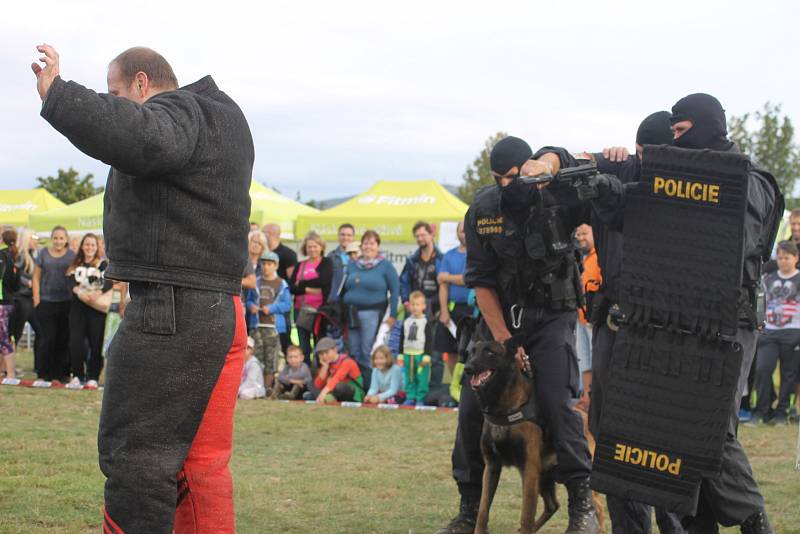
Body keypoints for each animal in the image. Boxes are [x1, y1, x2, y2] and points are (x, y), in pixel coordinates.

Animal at [466, 332, 604, 532]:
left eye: (490, 352)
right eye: (471, 352)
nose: (467, 368)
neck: (504, 408)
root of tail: (584, 412)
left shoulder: (529, 469)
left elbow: (526, 516)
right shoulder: (491, 467)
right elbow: (483, 512)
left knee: (597, 506)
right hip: (544, 477)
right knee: (553, 505)